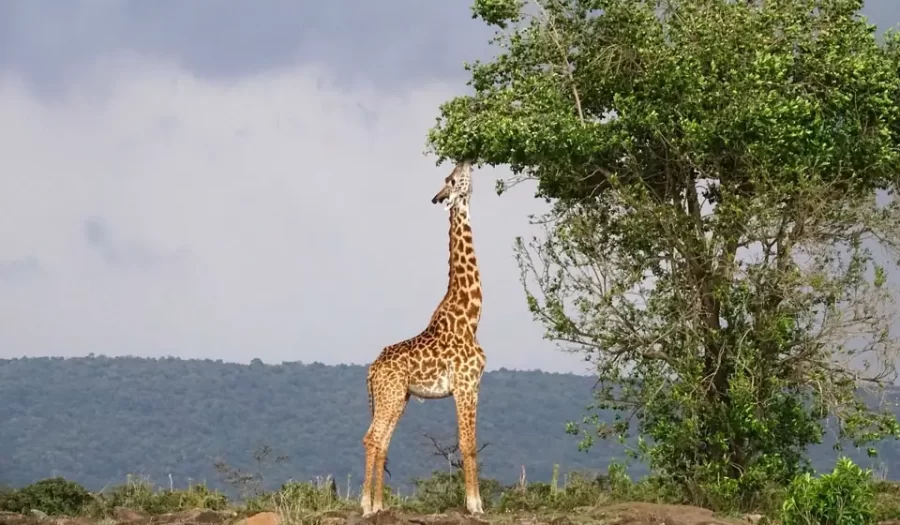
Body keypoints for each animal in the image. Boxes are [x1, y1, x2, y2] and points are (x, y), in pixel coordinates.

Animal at [358, 161, 486, 516]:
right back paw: (367, 506)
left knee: (381, 441)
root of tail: (372, 370)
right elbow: (467, 444)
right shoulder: (465, 385)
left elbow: (469, 443)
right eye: (453, 179)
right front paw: (475, 506)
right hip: (390, 396)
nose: (466, 160)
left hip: (396, 396)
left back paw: (379, 504)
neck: (471, 317)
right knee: (373, 438)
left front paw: (476, 503)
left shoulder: (472, 386)